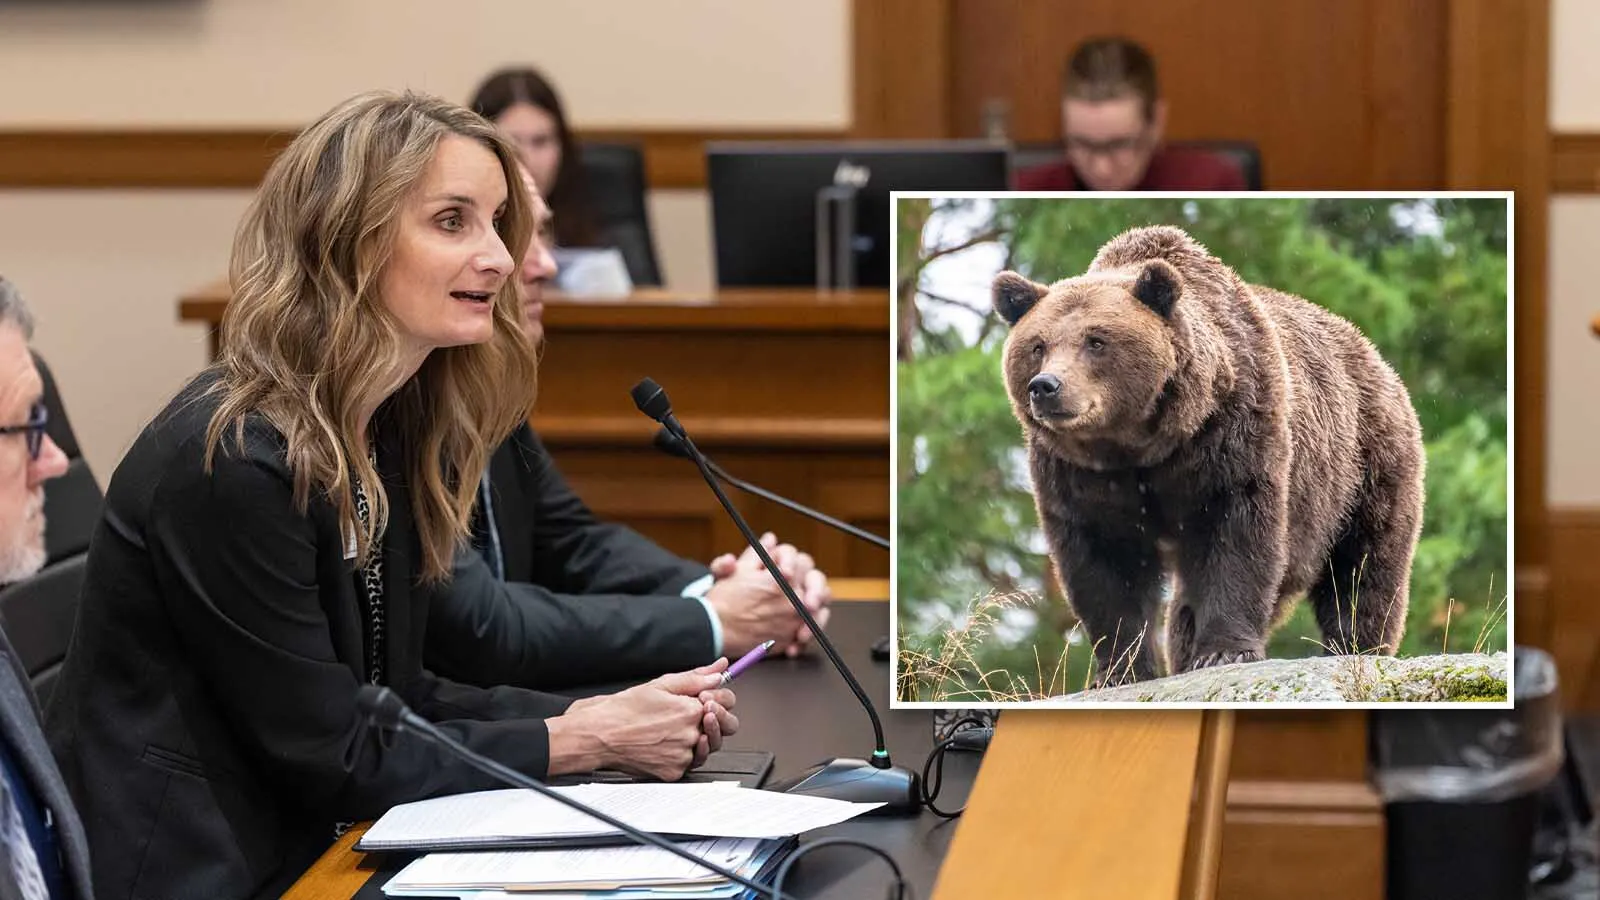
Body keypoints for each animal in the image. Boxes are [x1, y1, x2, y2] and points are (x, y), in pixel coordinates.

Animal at [992, 224, 1425, 686]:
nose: (1046, 386)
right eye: (1037, 345)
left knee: (1364, 564)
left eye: (1096, 340)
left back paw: (1357, 647)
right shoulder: (1079, 476)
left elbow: (1237, 535)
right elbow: (1104, 563)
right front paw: (1119, 670)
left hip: (1363, 464)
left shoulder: (1232, 435)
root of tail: (1372, 354)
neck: (1140, 445)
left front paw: (1224, 652)